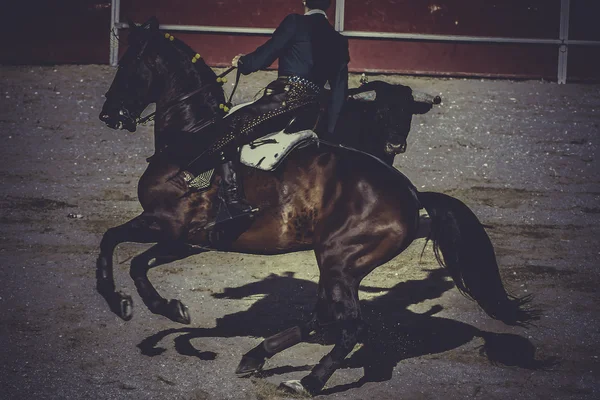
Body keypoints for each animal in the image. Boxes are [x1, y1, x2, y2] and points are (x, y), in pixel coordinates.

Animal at [96, 18, 536, 394]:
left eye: (130, 65)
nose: (108, 115)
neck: (191, 137)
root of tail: (412, 194)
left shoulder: (169, 227)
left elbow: (122, 251)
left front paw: (145, 306)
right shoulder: (184, 238)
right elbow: (124, 251)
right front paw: (156, 311)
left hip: (341, 260)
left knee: (349, 326)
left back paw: (306, 381)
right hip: (337, 262)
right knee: (322, 317)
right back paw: (256, 357)